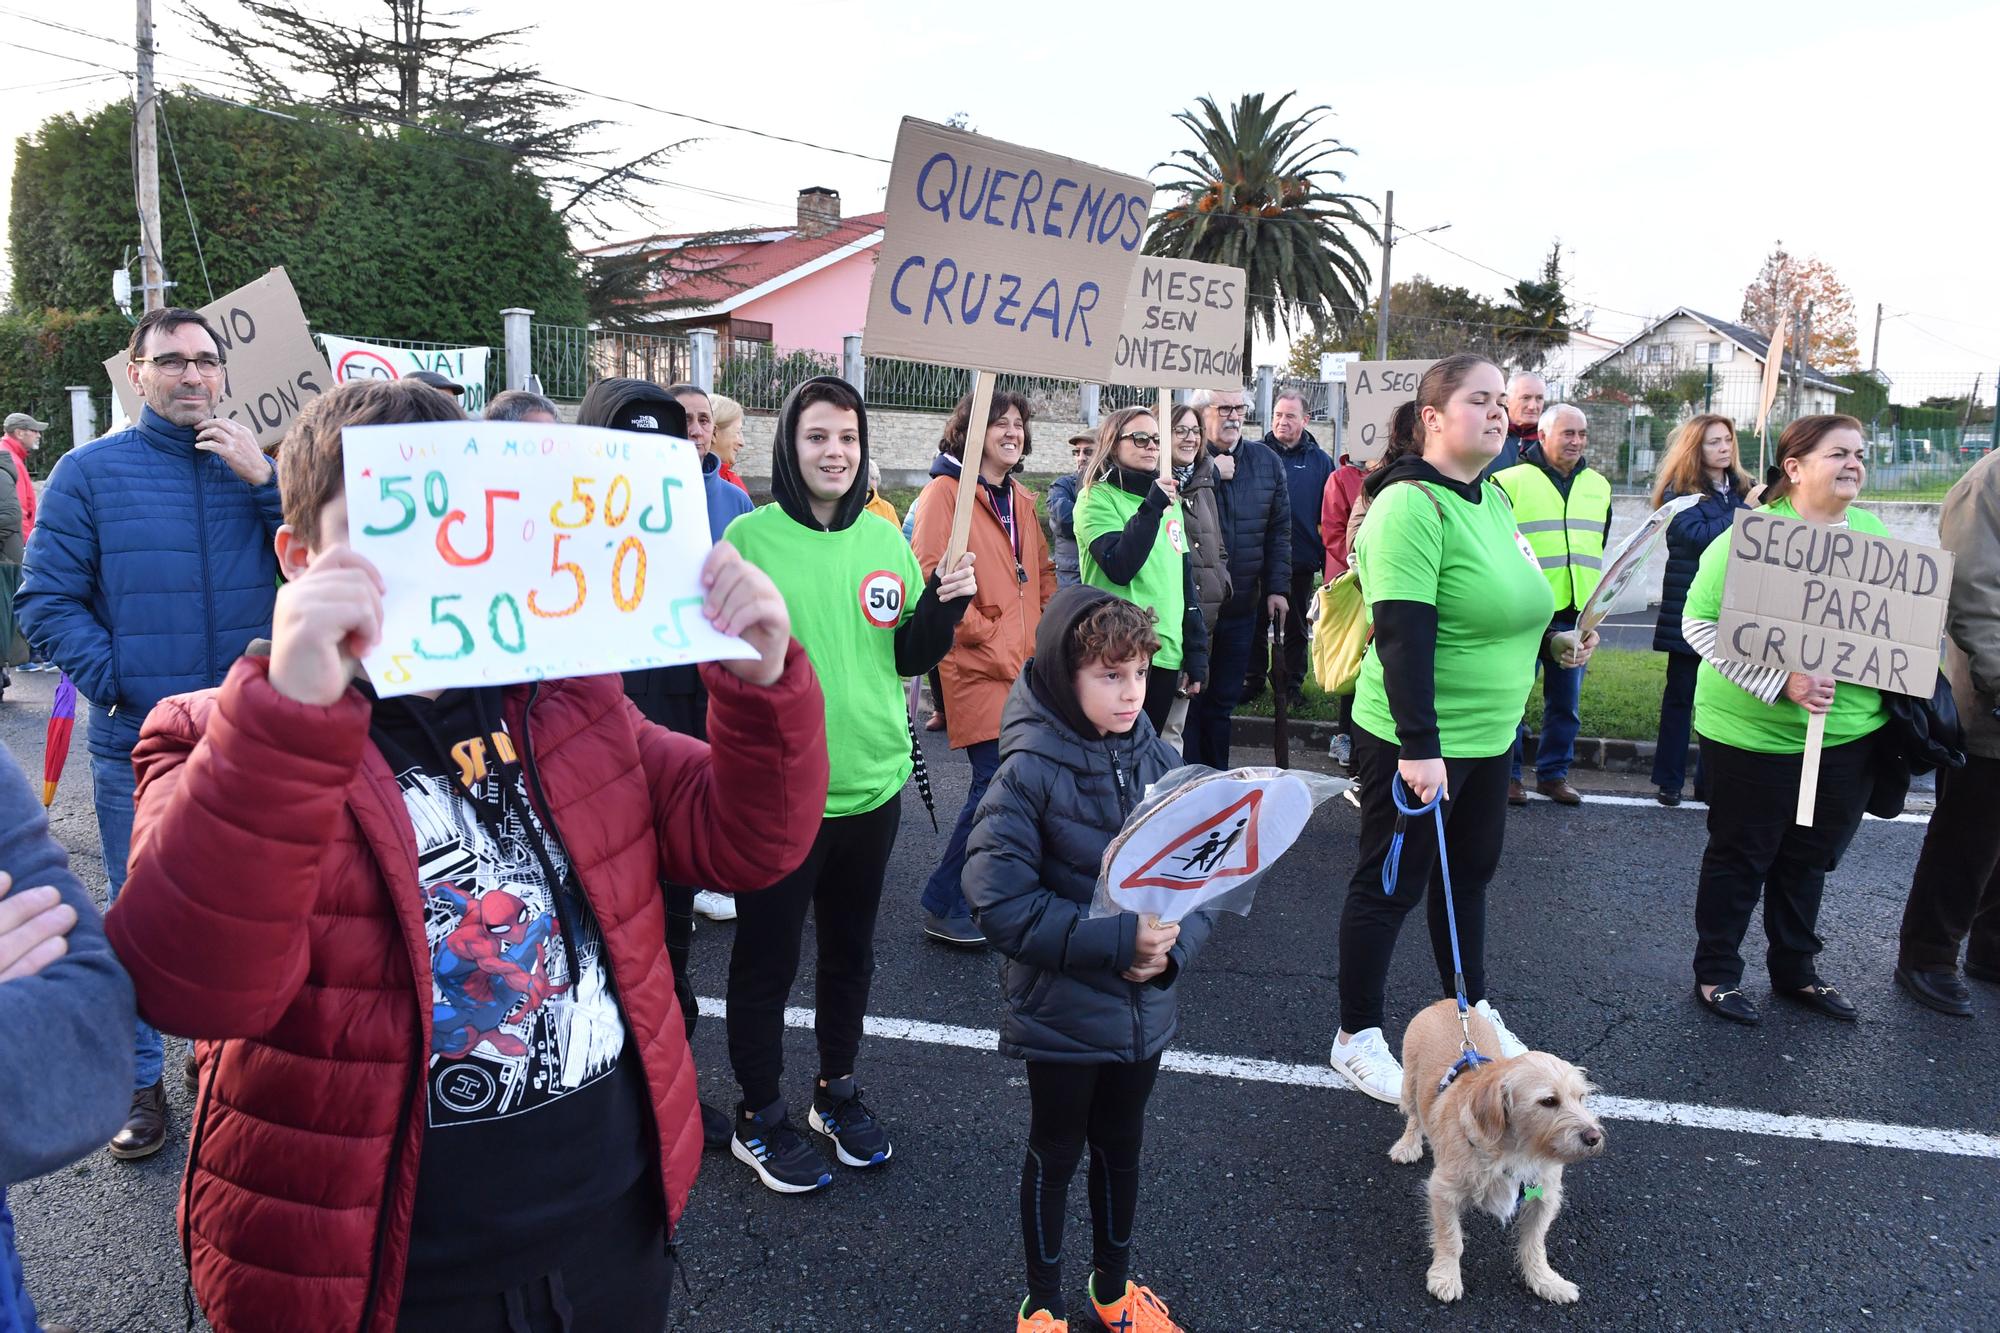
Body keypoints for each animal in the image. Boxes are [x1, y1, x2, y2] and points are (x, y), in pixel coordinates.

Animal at [1392, 996, 1608, 1296]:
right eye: (1548, 1101)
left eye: (1581, 1097)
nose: (1594, 1137)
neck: (1515, 1151)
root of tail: (1447, 1000)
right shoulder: (1443, 1191)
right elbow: (1451, 1238)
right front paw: (1446, 1277)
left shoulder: (1545, 1195)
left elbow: (1535, 1243)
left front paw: (1546, 1281)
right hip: (1410, 1083)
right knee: (1414, 1115)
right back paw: (1407, 1145)